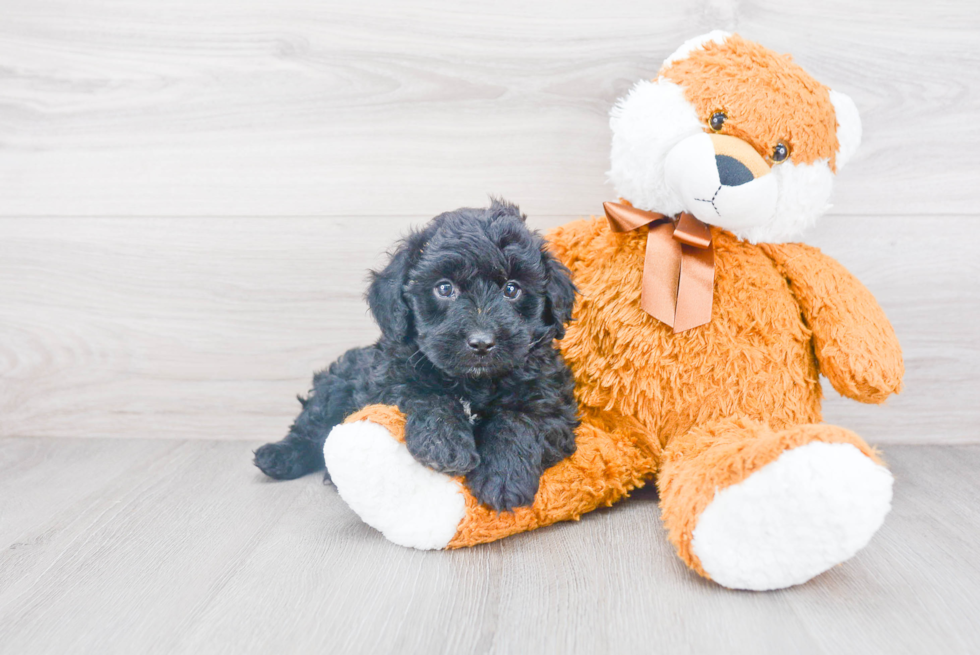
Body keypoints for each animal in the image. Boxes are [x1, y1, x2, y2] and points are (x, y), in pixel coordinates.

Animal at [255, 200, 580, 512]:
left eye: (512, 289)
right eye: (445, 288)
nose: (481, 343)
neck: (473, 383)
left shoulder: (551, 401)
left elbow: (519, 421)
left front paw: (503, 477)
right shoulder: (390, 382)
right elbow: (427, 396)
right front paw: (445, 445)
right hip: (334, 386)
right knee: (310, 426)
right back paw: (277, 456)